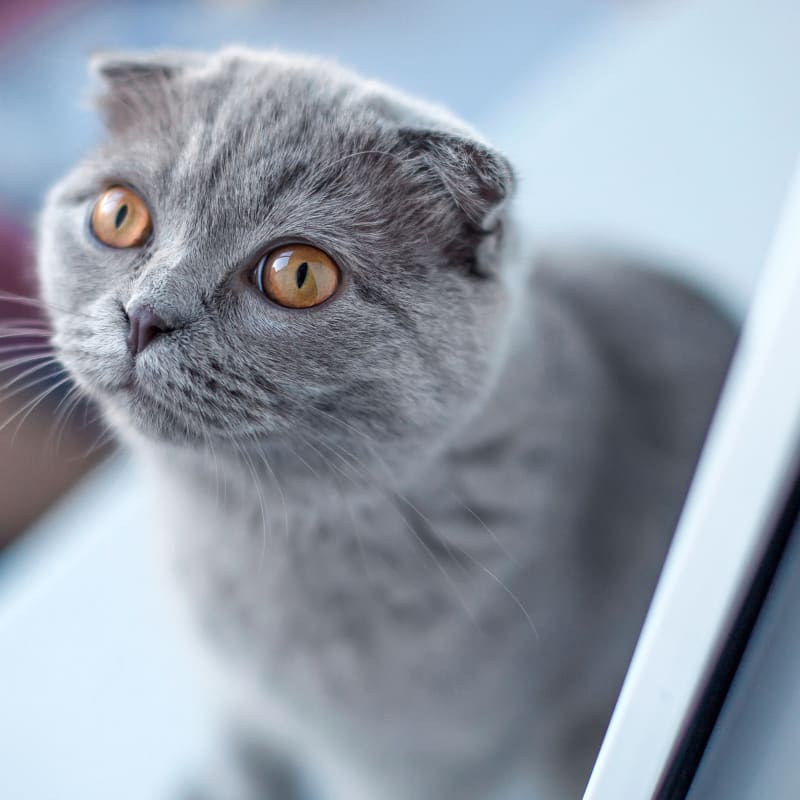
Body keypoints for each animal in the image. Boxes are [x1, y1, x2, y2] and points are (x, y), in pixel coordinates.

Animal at [37, 48, 736, 800]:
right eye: (119, 214)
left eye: (299, 274)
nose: (144, 314)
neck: (243, 528)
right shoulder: (229, 693)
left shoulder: (415, 767)